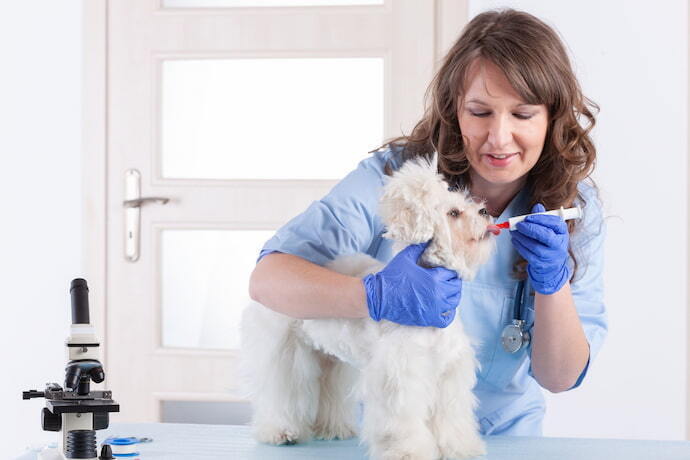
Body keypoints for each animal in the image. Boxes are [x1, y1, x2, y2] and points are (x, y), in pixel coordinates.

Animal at [242, 155, 494, 460]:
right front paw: (407, 450)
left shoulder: (449, 373)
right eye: (454, 213)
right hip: (287, 353)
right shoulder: (401, 375)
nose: (485, 211)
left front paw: (459, 447)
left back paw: (333, 428)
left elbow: (450, 417)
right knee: (282, 392)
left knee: (328, 390)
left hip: (331, 361)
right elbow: (404, 420)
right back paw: (280, 431)